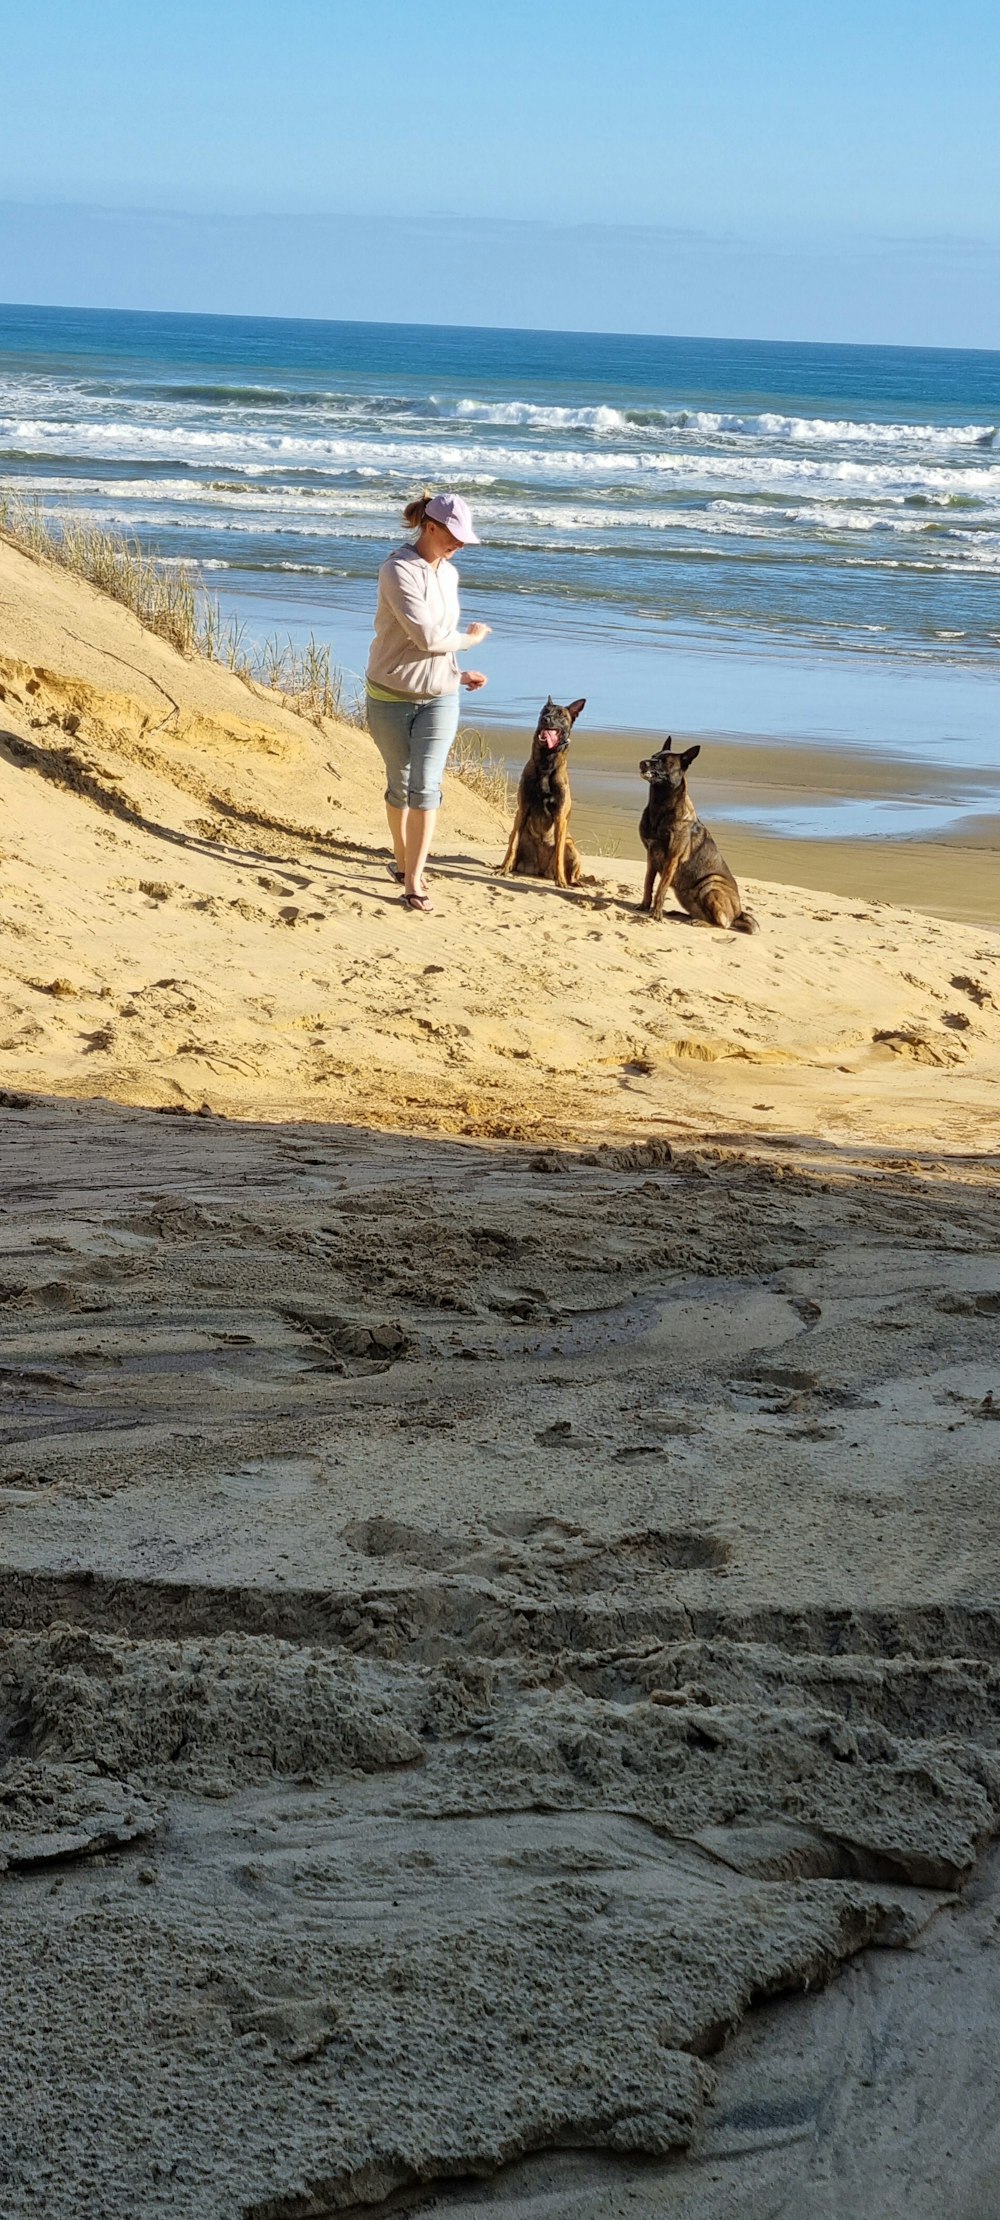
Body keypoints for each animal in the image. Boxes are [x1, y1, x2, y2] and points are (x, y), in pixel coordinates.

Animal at [497, 701, 586, 892]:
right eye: (545, 711)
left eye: (561, 715)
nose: (546, 719)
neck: (546, 762)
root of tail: (539, 870)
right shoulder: (522, 810)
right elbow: (512, 847)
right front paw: (503, 869)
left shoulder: (560, 817)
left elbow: (558, 854)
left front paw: (561, 881)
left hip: (571, 847)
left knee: (571, 869)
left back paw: (572, 881)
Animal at [640, 732, 760, 932]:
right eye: (653, 755)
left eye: (664, 762)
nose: (642, 763)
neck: (661, 806)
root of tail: (738, 913)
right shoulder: (651, 855)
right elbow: (648, 883)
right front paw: (644, 906)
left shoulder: (672, 858)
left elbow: (661, 889)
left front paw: (656, 913)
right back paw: (680, 914)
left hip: (710, 885)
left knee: (722, 924)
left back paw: (699, 922)